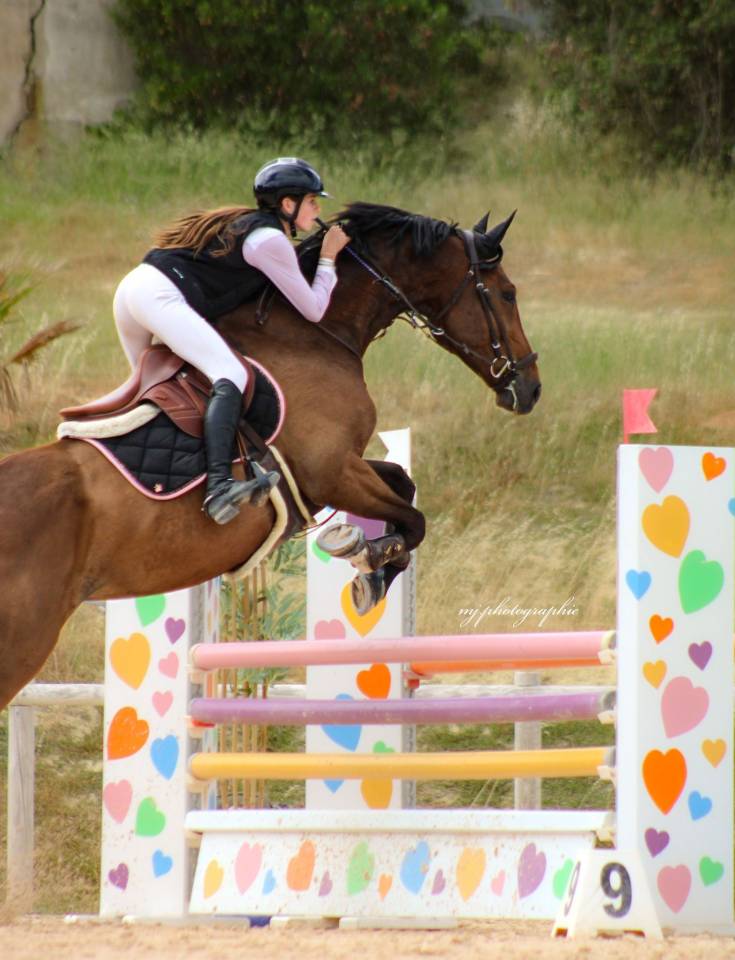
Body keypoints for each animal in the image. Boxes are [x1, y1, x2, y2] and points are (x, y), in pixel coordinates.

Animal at [0, 202, 540, 708]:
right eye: (508, 293)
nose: (530, 388)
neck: (314, 335)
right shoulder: (331, 473)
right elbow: (414, 519)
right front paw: (366, 556)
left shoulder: (334, 472)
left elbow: (402, 484)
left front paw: (372, 564)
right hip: (25, 641)